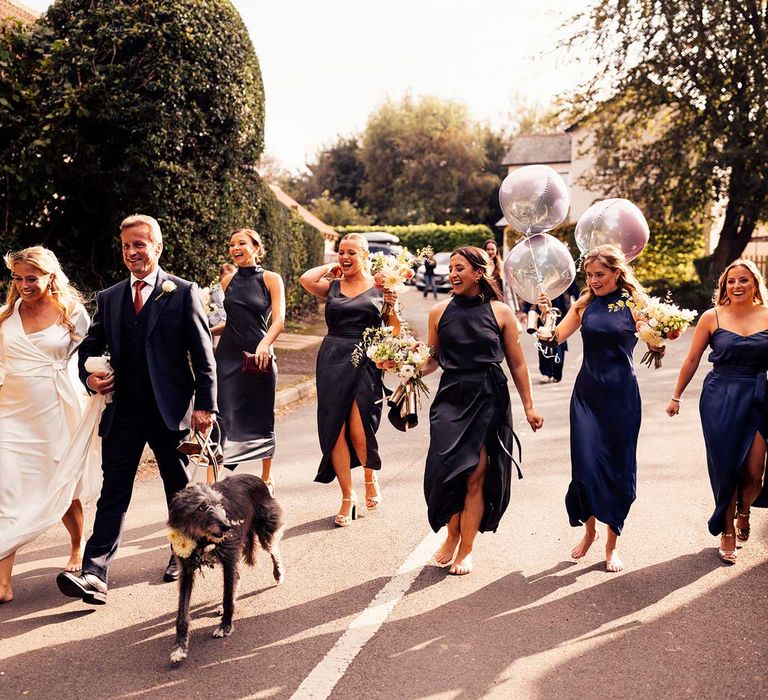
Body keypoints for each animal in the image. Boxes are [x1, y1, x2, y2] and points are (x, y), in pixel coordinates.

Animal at [168, 474, 284, 664]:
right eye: (201, 507)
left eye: (219, 504)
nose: (227, 526)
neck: (202, 539)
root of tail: (257, 479)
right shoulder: (186, 569)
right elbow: (182, 612)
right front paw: (180, 648)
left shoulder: (229, 556)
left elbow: (228, 595)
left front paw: (225, 626)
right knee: (238, 577)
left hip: (265, 528)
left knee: (273, 548)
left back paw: (278, 573)